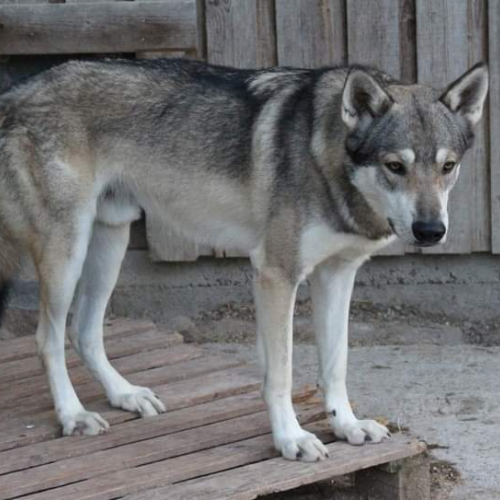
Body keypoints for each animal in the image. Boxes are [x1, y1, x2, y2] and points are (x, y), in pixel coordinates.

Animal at [0, 57, 488, 460]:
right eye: (395, 166)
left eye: (447, 167)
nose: (431, 231)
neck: (325, 155)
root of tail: (20, 88)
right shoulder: (276, 275)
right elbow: (281, 375)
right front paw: (291, 439)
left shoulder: (337, 274)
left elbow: (336, 364)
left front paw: (346, 426)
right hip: (68, 250)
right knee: (47, 338)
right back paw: (73, 415)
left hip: (110, 243)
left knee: (84, 331)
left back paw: (125, 395)